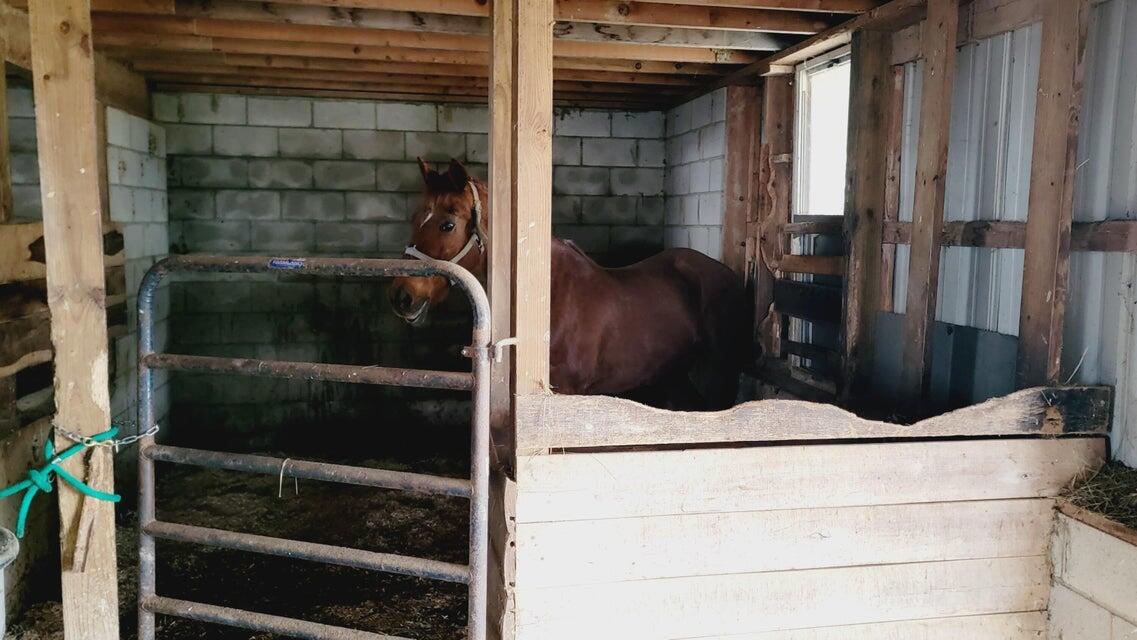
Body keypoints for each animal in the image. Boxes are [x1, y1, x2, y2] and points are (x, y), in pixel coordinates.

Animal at [388, 158, 749, 409]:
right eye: (415, 218)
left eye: (447, 224)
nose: (402, 296)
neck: (547, 299)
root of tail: (727, 273)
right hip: (673, 373)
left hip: (721, 370)